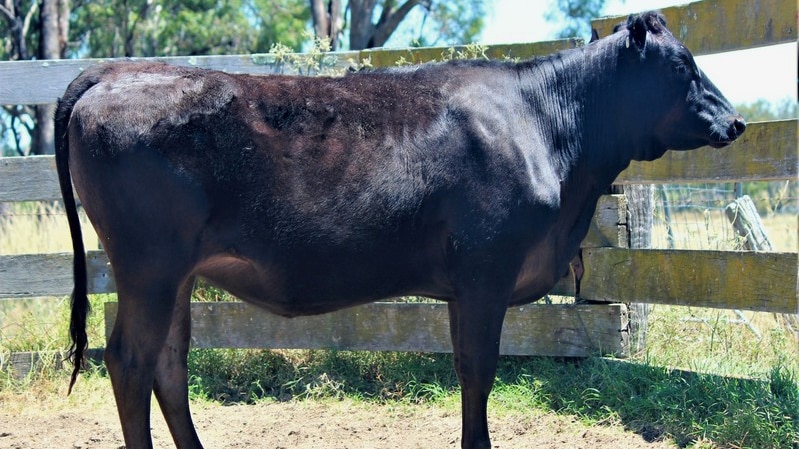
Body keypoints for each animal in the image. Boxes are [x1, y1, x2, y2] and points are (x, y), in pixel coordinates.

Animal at [54, 13, 744, 448]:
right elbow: (479, 370)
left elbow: (468, 369)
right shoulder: (486, 272)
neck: (548, 127)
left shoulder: (465, 284)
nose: (736, 121)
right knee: (131, 360)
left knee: (169, 364)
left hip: (176, 275)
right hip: (149, 264)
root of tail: (113, 73)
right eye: (682, 67)